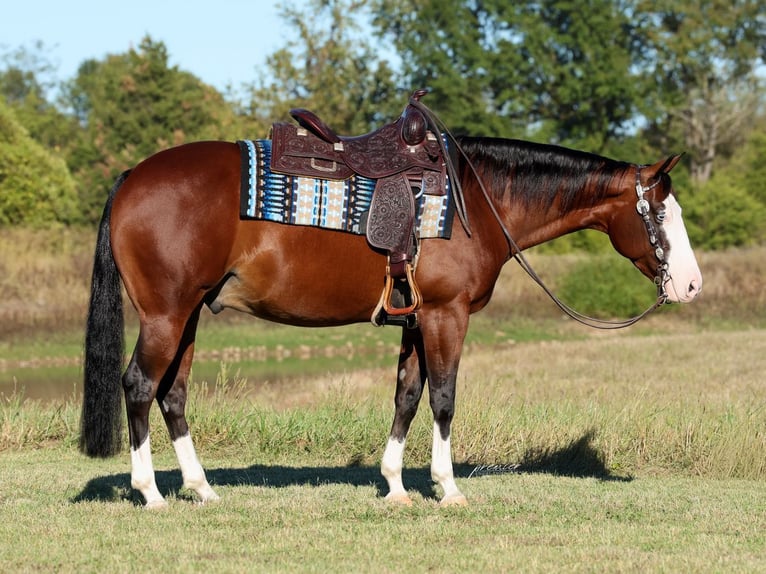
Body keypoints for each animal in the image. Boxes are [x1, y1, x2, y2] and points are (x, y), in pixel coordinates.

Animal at [79, 134, 702, 508]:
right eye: (659, 213)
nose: (691, 285)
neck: (477, 203)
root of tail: (134, 175)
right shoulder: (446, 315)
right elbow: (444, 397)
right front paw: (447, 489)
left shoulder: (415, 320)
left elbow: (407, 396)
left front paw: (396, 486)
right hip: (166, 315)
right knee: (139, 385)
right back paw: (150, 493)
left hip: (187, 316)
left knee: (172, 394)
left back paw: (201, 489)